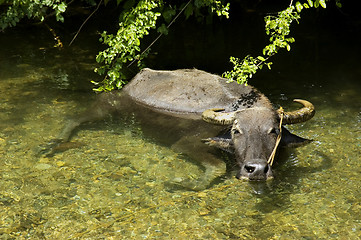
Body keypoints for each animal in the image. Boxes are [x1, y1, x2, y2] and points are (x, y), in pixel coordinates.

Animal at [45, 68, 316, 190]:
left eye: (274, 131)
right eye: (237, 130)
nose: (257, 169)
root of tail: (137, 77)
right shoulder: (186, 144)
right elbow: (216, 166)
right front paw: (184, 183)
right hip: (109, 104)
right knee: (76, 118)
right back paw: (52, 144)